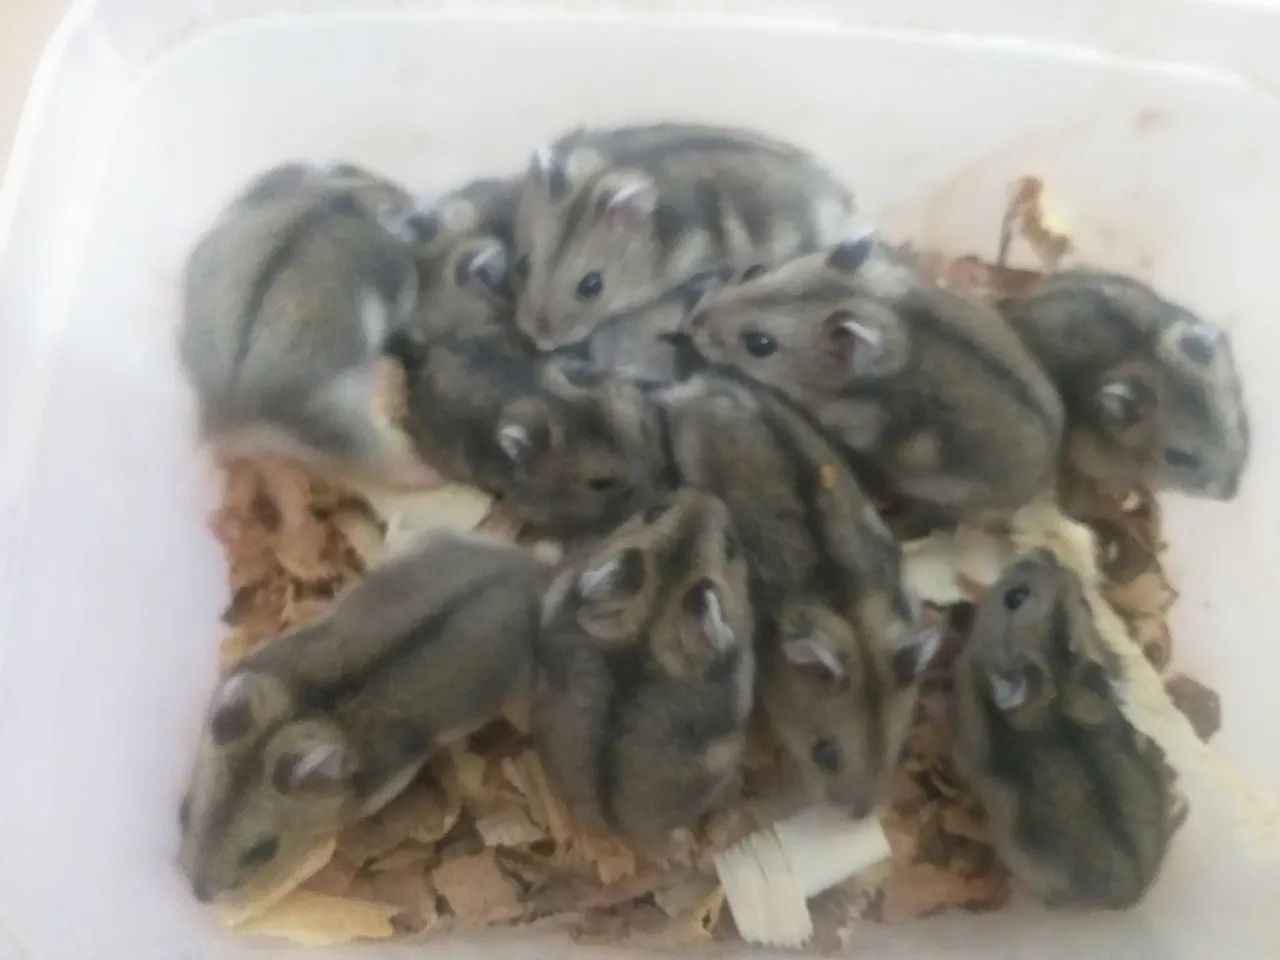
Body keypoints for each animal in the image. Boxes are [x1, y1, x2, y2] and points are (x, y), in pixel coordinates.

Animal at [180, 162, 436, 486]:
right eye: (408, 213)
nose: (429, 213)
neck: (346, 197)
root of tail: (226, 418)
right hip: (336, 409)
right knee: (368, 455)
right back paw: (424, 472)